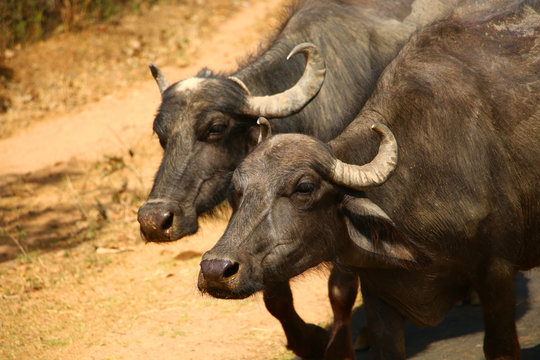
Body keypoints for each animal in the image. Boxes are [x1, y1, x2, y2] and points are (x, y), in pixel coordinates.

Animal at [198, 1, 540, 358]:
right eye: (238, 191)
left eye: (304, 187)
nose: (215, 270)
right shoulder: (379, 290)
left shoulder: (497, 272)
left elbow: (501, 346)